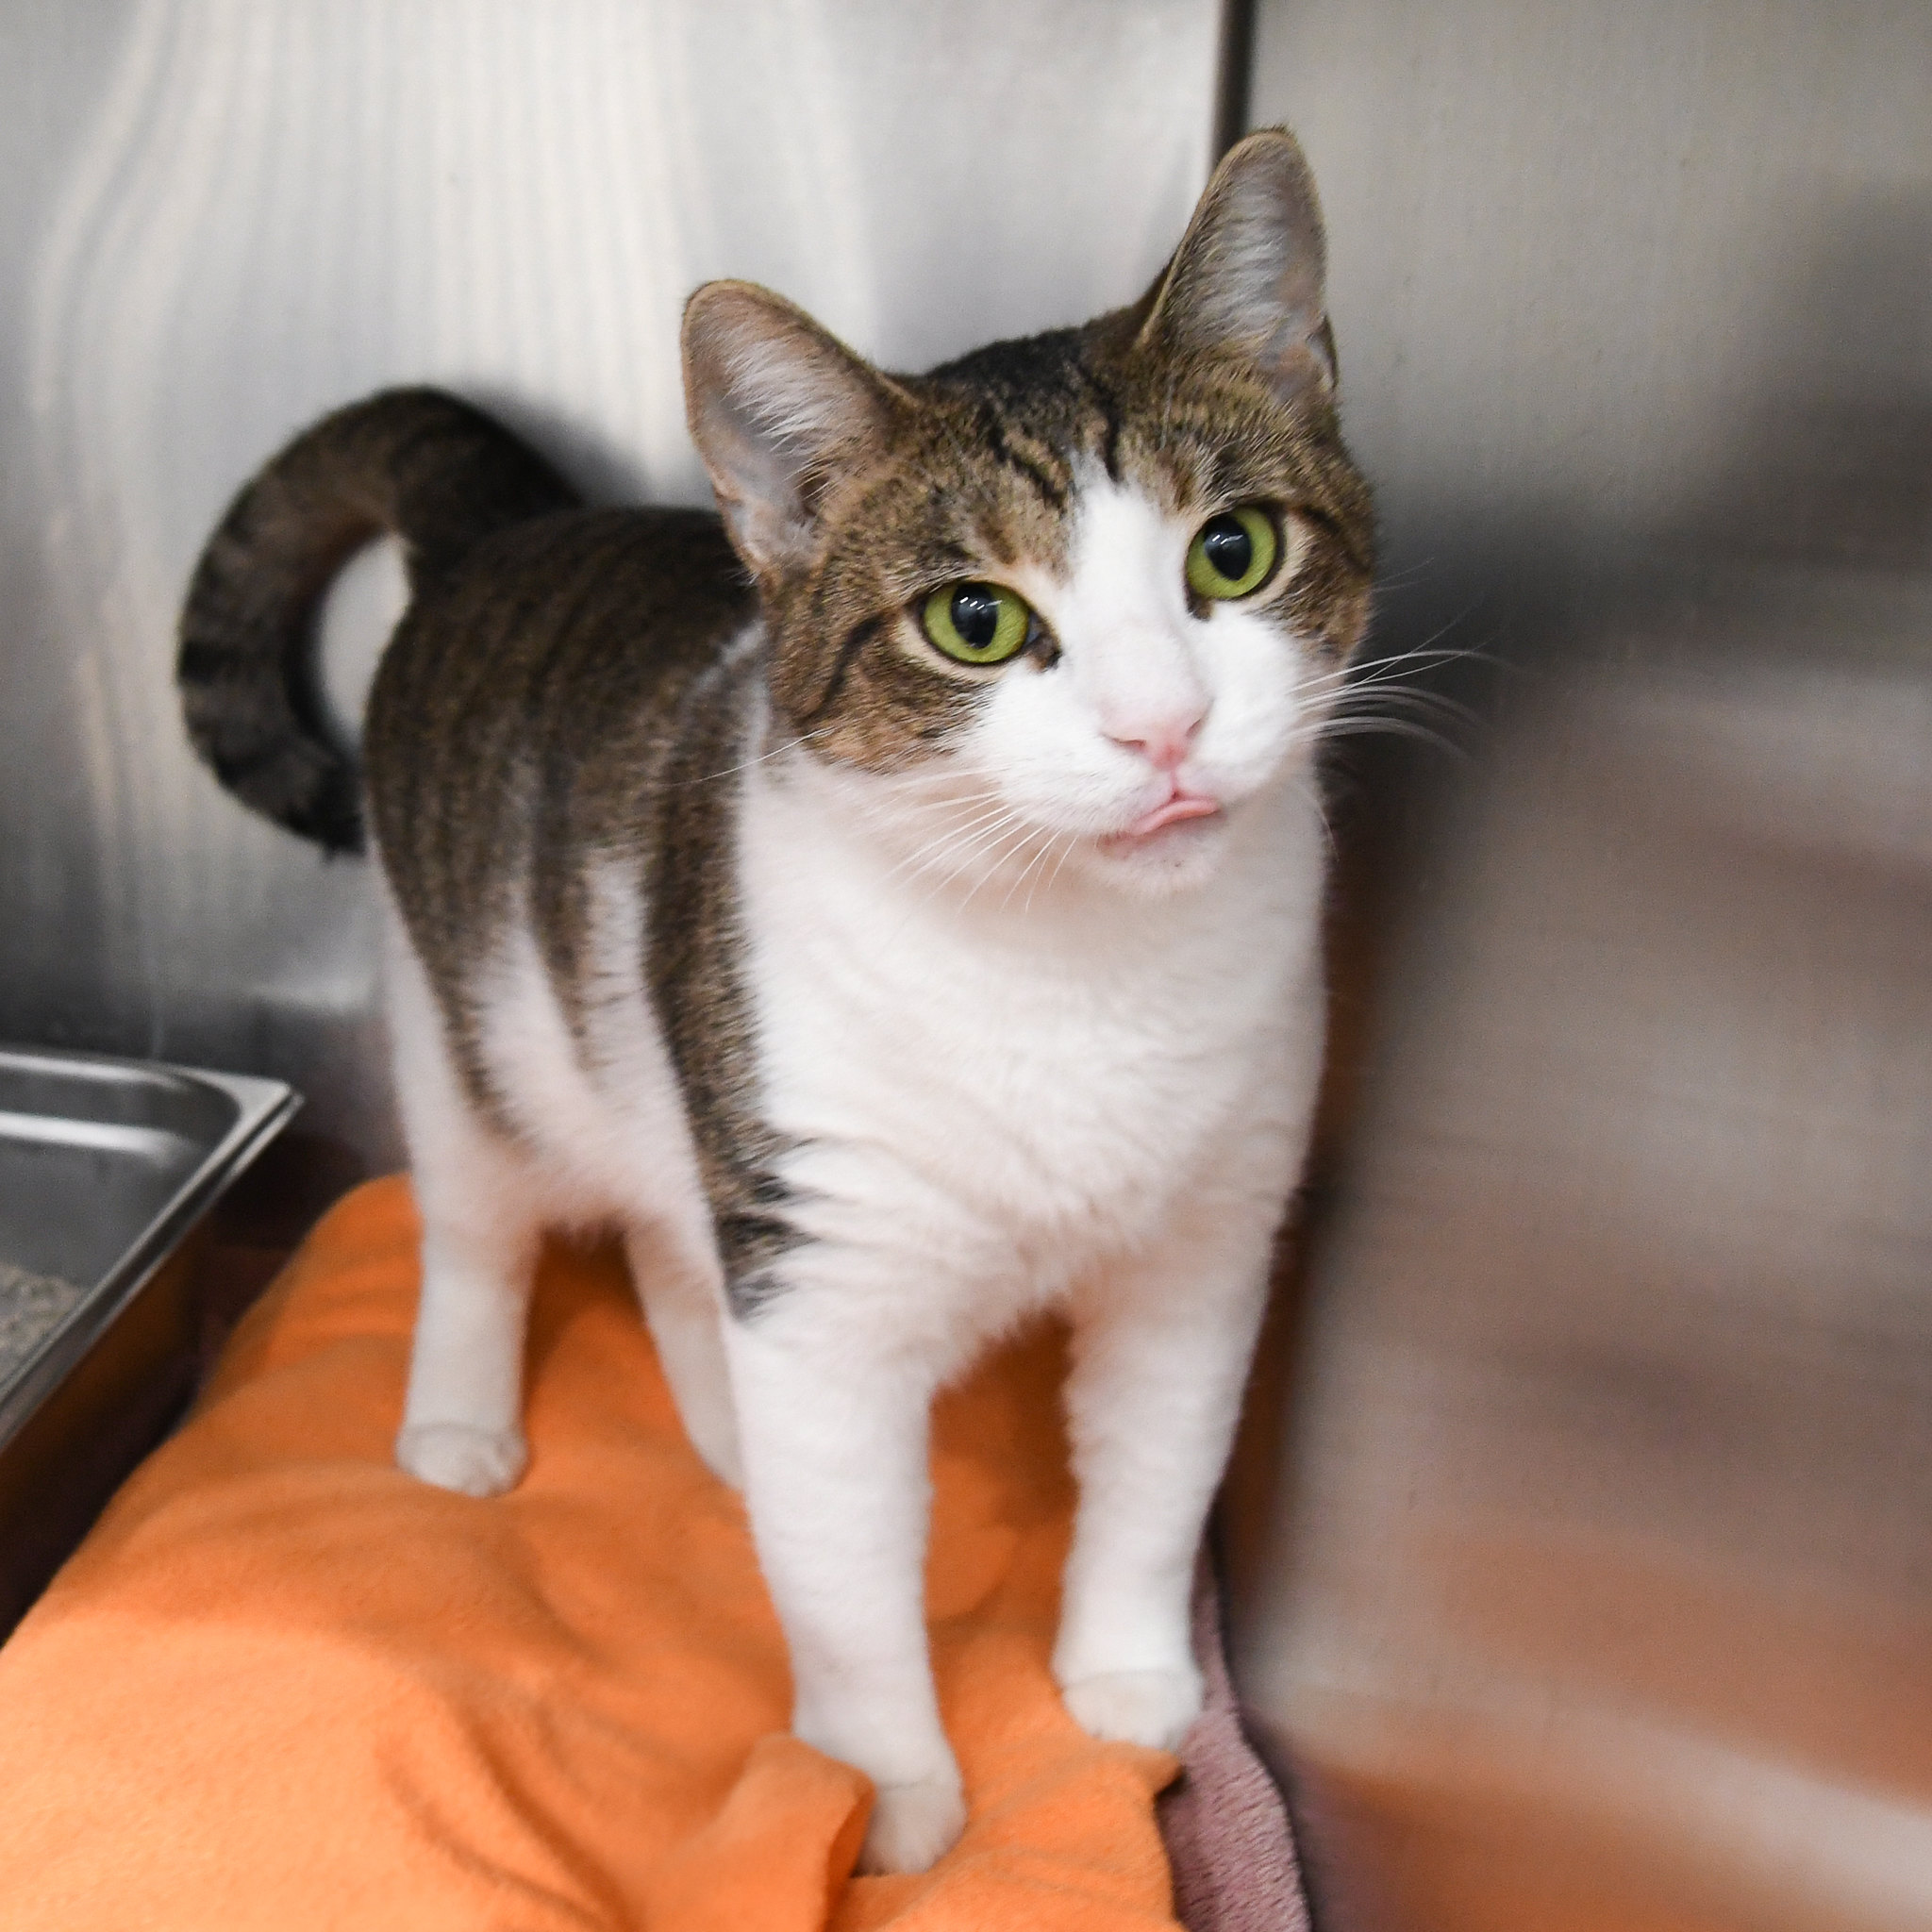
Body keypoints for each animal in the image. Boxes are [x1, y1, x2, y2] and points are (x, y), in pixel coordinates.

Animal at [176, 126, 1373, 1874]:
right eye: (974, 620)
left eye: (1233, 552)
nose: (1160, 728)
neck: (1075, 966)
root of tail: (512, 527)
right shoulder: (822, 1268)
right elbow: (852, 1587)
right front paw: (883, 1790)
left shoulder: (1205, 1243)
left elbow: (1156, 1473)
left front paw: (1125, 1674)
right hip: (469, 1010)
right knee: (478, 1226)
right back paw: (461, 1417)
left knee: (671, 1245)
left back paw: (725, 1431)